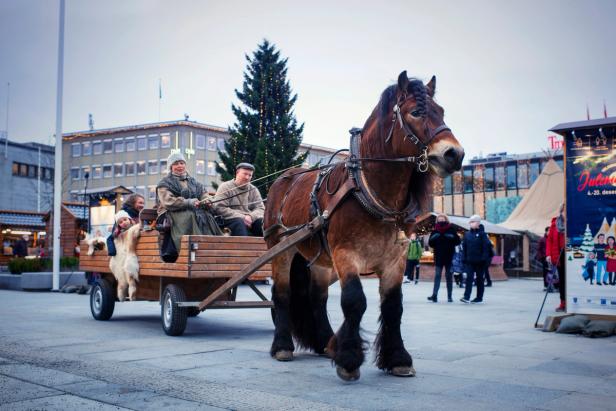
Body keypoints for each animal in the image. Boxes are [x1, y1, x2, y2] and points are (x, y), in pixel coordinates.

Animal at [264, 71, 462, 384]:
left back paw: (324, 342)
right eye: (416, 112)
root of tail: (282, 180)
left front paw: (397, 358)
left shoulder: (396, 261)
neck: (367, 188)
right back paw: (282, 346)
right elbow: (354, 301)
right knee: (282, 294)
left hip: (320, 260)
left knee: (317, 298)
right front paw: (348, 359)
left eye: (441, 111)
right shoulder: (346, 254)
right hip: (281, 250)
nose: (455, 153)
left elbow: (393, 306)